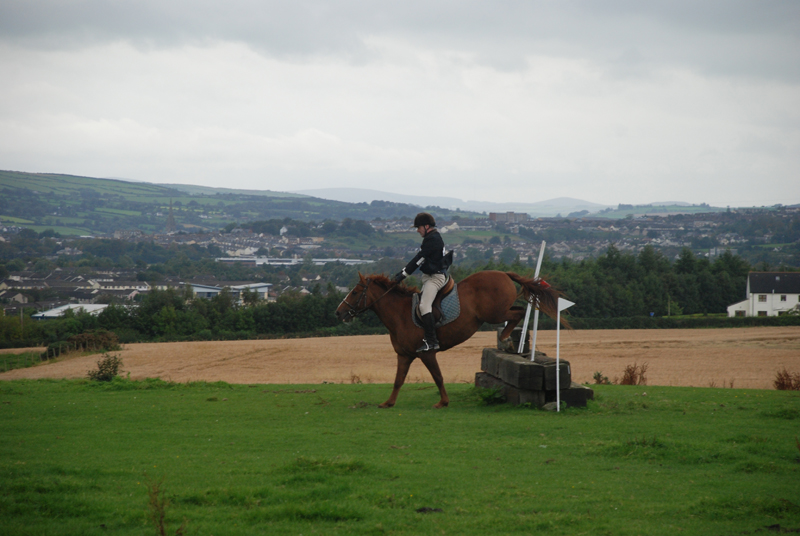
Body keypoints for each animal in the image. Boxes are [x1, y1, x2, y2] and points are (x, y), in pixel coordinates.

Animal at [334, 270, 562, 408]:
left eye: (355, 292)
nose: (338, 313)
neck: (399, 313)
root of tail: (503, 273)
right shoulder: (404, 356)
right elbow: (398, 379)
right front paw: (388, 403)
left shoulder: (427, 353)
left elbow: (438, 376)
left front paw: (443, 402)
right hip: (498, 311)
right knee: (518, 310)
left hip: (494, 314)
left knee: (519, 313)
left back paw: (506, 339)